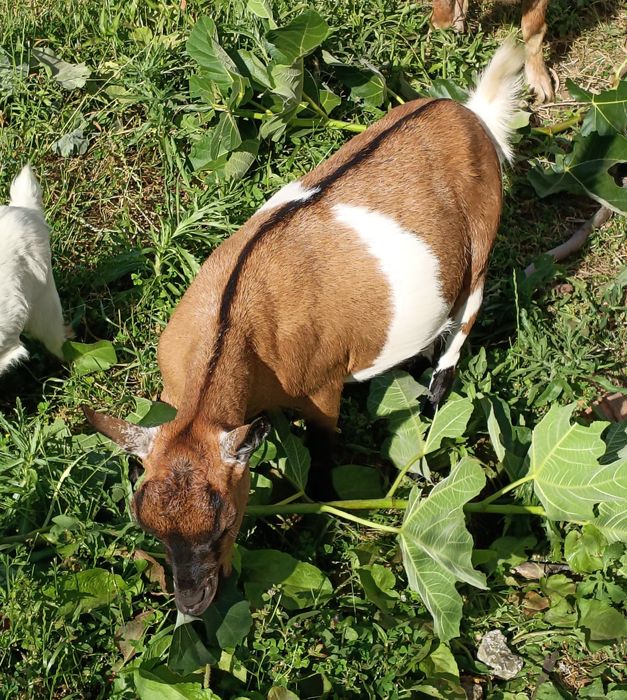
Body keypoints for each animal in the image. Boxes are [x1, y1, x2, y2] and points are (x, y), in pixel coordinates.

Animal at [84, 42, 524, 616]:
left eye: (226, 524)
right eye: (152, 531)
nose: (193, 604)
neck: (234, 325)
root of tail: (470, 114)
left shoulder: (321, 387)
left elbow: (323, 451)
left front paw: (318, 510)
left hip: (482, 241)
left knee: (466, 314)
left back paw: (434, 393)